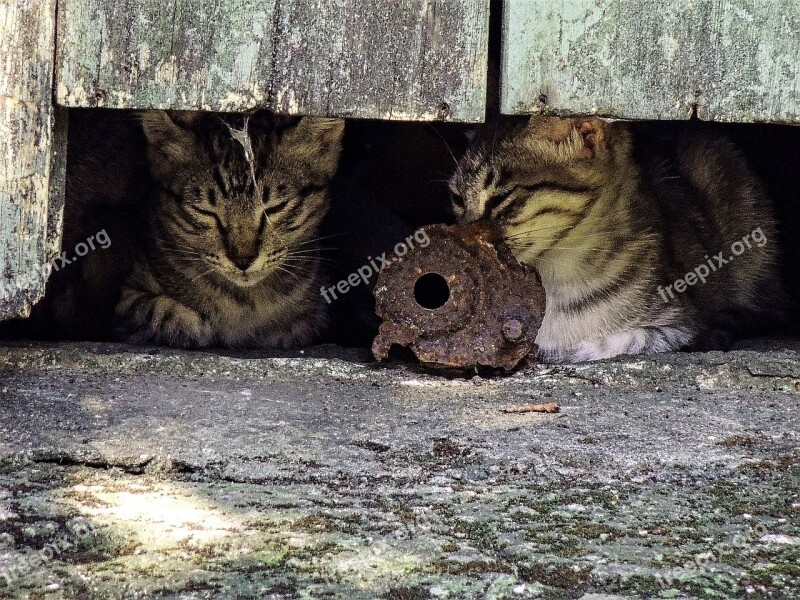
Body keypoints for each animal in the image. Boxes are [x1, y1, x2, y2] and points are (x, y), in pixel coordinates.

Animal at [116, 110, 344, 350]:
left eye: (275, 208)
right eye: (205, 211)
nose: (243, 260)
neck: (244, 300)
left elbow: (299, 324)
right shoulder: (127, 296)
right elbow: (156, 309)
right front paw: (192, 325)